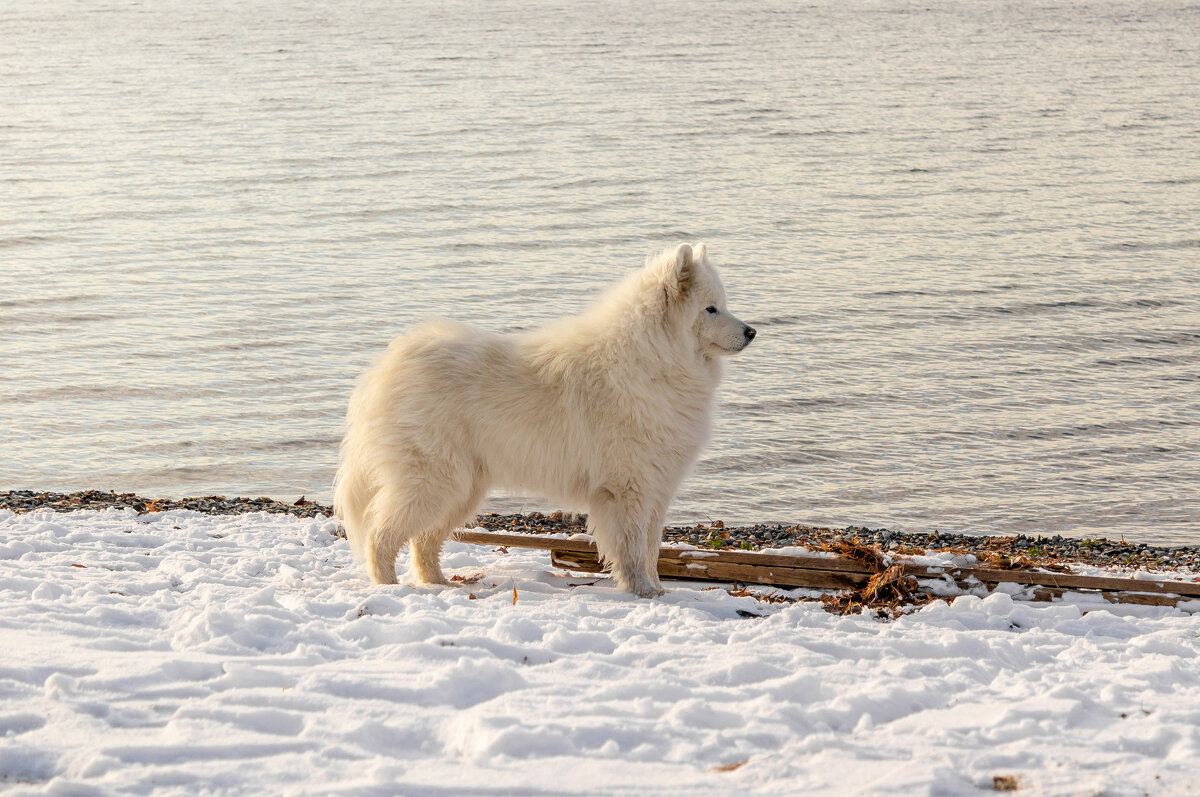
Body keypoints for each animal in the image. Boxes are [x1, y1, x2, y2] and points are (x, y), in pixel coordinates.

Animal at [333, 244, 753, 597]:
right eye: (710, 309)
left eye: (722, 305)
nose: (752, 331)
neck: (653, 359)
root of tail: (386, 366)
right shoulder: (628, 488)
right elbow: (633, 549)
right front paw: (643, 592)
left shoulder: (657, 488)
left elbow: (651, 548)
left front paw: (658, 589)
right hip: (435, 481)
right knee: (381, 535)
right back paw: (388, 587)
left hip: (461, 488)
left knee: (423, 541)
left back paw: (438, 583)